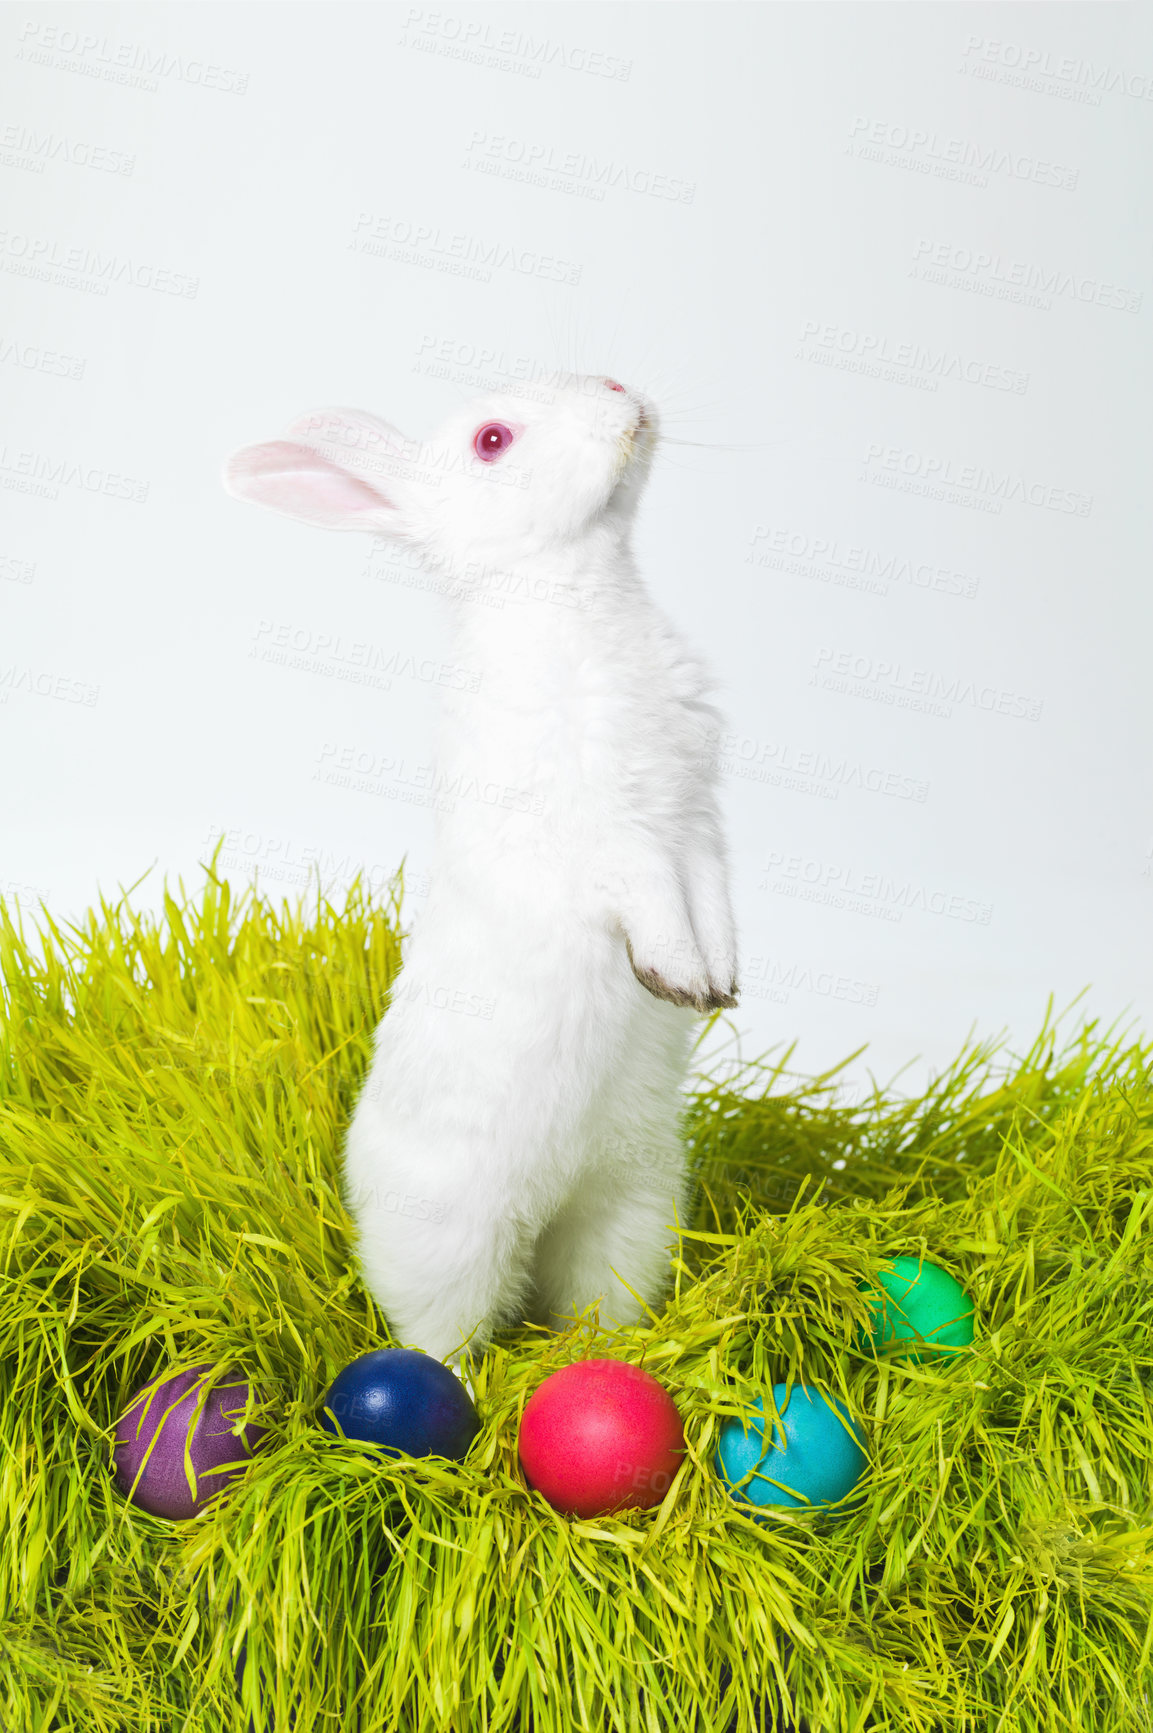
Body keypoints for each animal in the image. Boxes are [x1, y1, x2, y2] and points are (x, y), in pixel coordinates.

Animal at [225, 379, 738, 1365]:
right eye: (492, 440)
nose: (621, 389)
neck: (572, 589)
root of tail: (552, 1202)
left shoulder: (697, 823)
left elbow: (712, 899)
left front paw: (721, 985)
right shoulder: (614, 833)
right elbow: (653, 898)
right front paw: (677, 979)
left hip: (634, 1211)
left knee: (592, 1300)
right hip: (452, 1238)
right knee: (441, 1334)